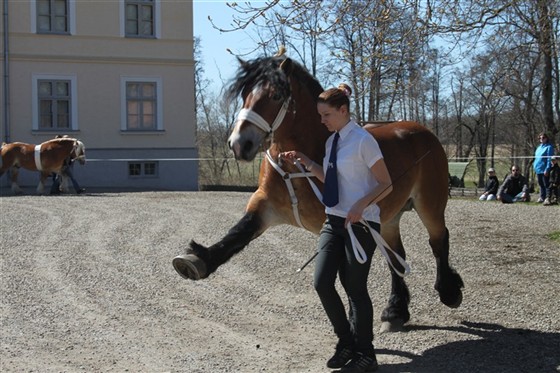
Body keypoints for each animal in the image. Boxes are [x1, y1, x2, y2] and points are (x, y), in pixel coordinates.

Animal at [172, 53, 464, 330]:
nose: (239, 144)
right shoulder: (265, 206)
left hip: (429, 205)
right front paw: (197, 260)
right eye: (245, 95)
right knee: (396, 257)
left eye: (275, 95)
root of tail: (422, 131)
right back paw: (395, 310)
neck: (301, 161)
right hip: (389, 216)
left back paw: (448, 291)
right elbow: (237, 234)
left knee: (438, 240)